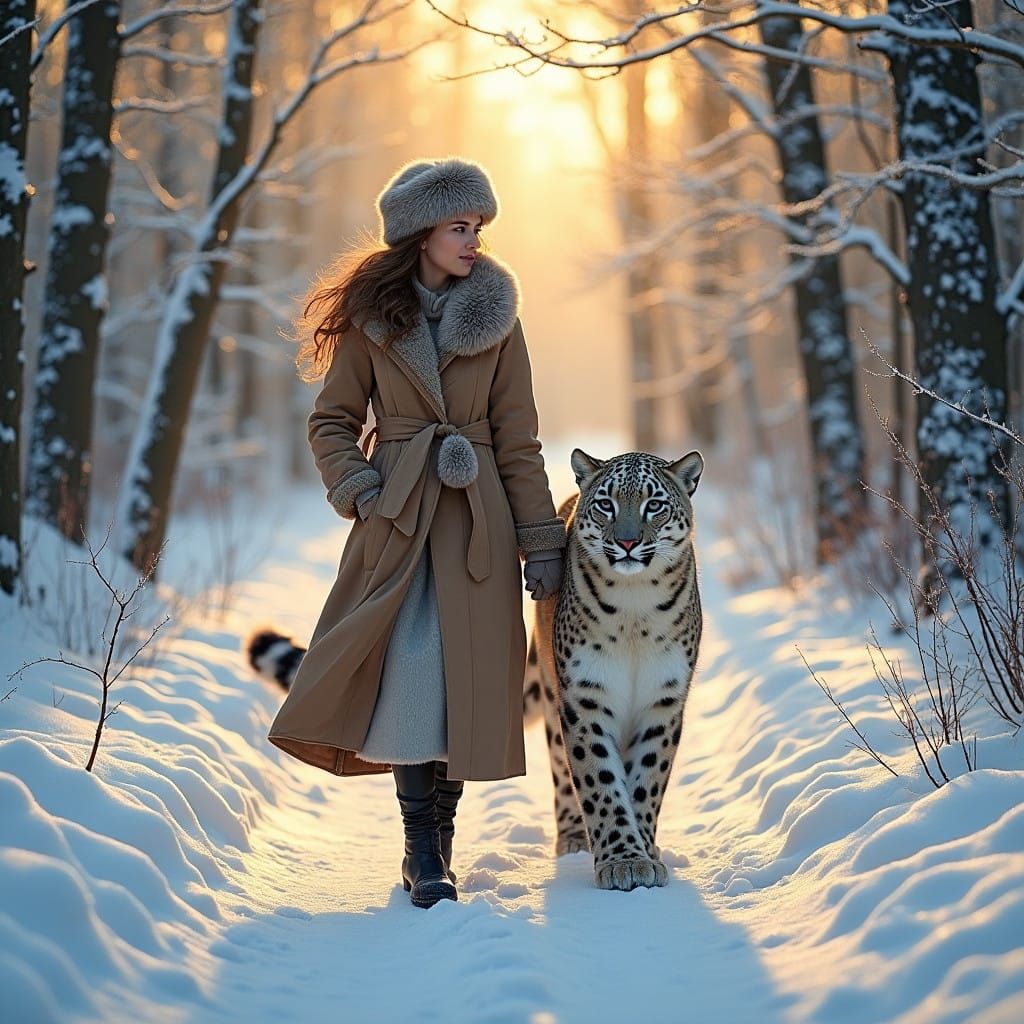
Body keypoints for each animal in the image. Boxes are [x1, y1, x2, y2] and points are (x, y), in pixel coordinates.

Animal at [523, 447, 704, 892]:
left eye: (654, 504)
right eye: (606, 504)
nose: (626, 541)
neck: (634, 607)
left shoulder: (662, 699)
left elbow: (647, 781)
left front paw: (643, 853)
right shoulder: (585, 696)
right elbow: (599, 780)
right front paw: (622, 860)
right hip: (553, 702)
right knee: (562, 771)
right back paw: (574, 839)